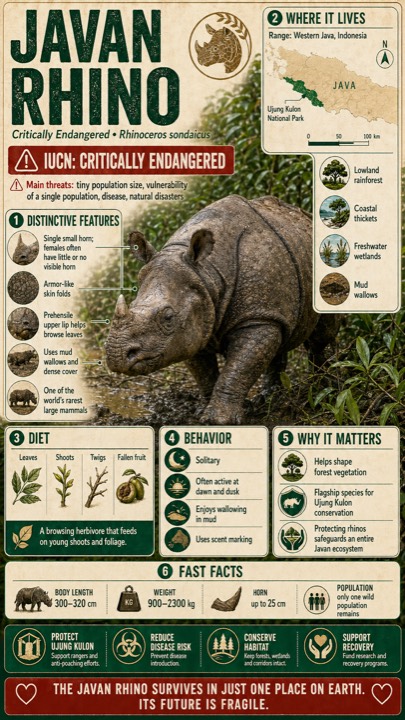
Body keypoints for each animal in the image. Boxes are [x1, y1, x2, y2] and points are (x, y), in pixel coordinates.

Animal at [106, 195, 340, 425]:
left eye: (168, 317)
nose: (117, 357)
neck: (207, 274)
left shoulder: (255, 317)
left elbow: (240, 367)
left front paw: (219, 420)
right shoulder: (194, 324)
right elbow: (205, 372)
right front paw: (205, 411)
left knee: (320, 337)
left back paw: (321, 387)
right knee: (281, 333)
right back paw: (270, 398)